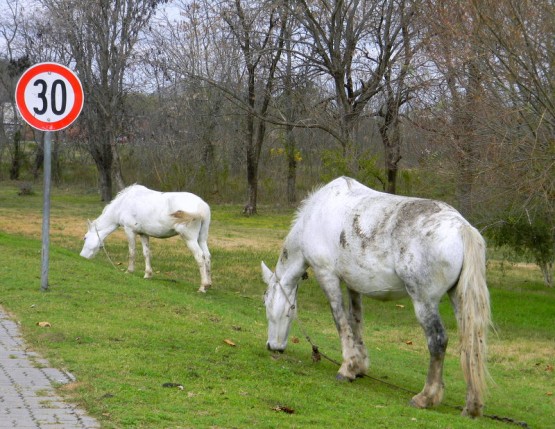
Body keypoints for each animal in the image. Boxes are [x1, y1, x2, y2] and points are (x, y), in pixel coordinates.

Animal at [80, 182, 213, 292]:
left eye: (85, 237)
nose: (82, 257)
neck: (123, 204)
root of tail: (202, 206)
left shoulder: (129, 231)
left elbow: (132, 252)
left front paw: (129, 271)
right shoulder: (144, 234)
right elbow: (146, 253)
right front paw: (148, 274)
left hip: (190, 239)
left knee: (200, 257)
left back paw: (202, 287)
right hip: (202, 239)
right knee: (207, 256)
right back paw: (209, 285)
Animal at [262, 176, 494, 416]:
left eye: (266, 304)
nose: (272, 346)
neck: (315, 214)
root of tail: (462, 227)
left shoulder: (327, 276)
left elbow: (340, 320)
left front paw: (346, 368)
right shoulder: (353, 284)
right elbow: (355, 321)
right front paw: (359, 366)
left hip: (424, 302)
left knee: (438, 341)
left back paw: (425, 397)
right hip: (459, 300)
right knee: (471, 343)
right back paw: (472, 406)